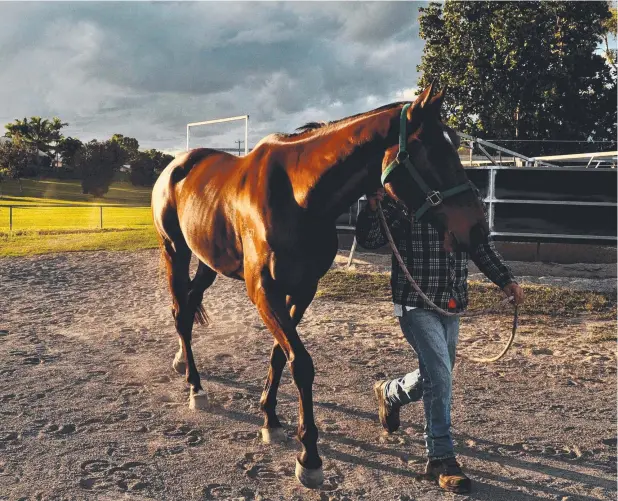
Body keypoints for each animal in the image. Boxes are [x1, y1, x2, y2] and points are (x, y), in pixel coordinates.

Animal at [150, 84, 486, 486]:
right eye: (433, 151)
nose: (476, 229)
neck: (297, 197)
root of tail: (174, 167)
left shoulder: (303, 289)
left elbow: (281, 355)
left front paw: (270, 418)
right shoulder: (263, 291)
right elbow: (301, 363)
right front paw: (309, 456)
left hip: (207, 262)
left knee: (188, 305)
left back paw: (182, 364)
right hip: (175, 251)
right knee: (181, 314)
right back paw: (196, 388)